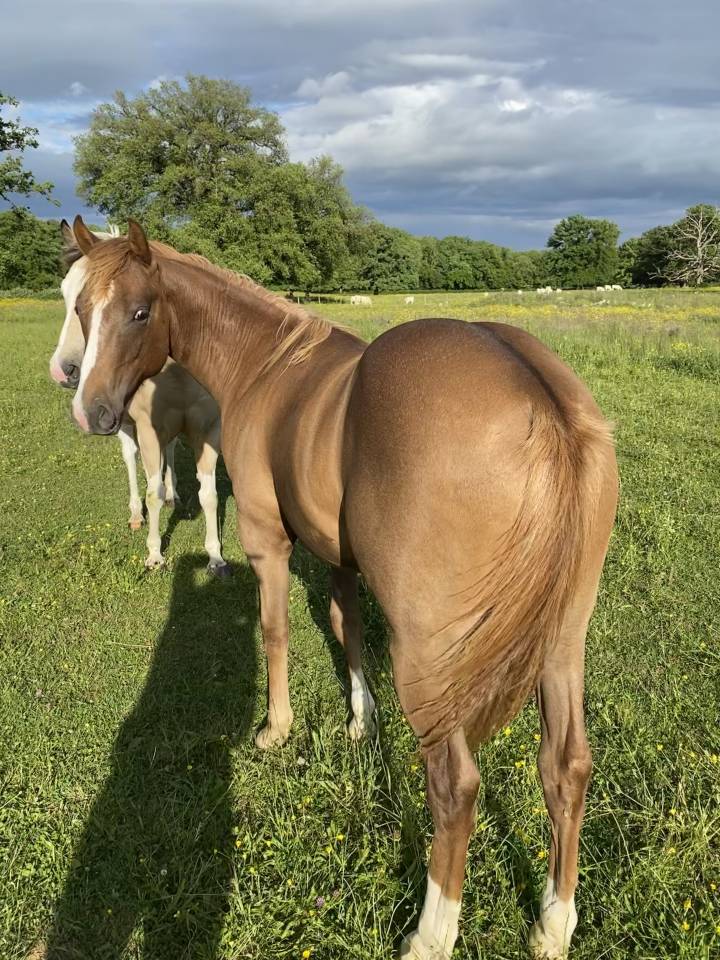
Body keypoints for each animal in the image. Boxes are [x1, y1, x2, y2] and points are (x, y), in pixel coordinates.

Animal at [49, 223, 230, 576]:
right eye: (71, 300)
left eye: (139, 313)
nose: (64, 370)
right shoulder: (146, 429)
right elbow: (152, 492)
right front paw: (155, 553)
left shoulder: (207, 428)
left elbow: (209, 495)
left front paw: (215, 557)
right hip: (123, 425)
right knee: (131, 460)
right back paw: (136, 515)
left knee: (168, 454)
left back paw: (174, 496)